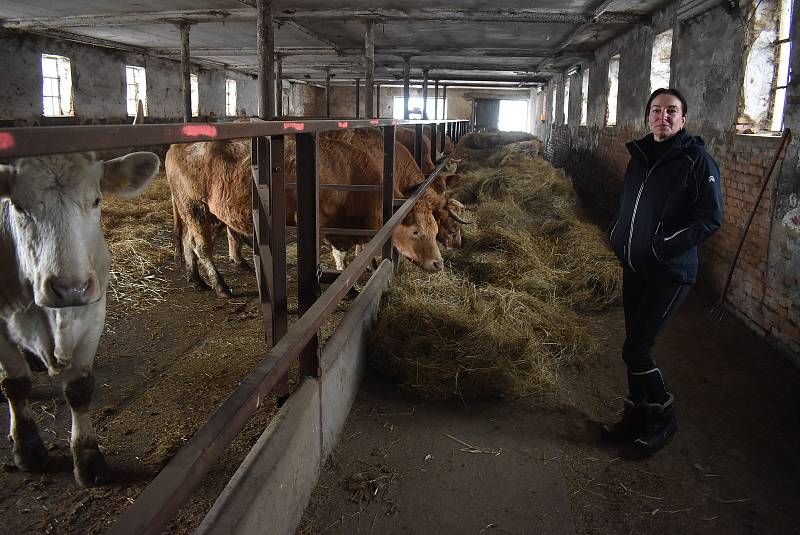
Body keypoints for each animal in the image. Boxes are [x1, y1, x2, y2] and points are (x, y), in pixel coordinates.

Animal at [0, 150, 159, 486]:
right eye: (18, 206)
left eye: (96, 200)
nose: (69, 288)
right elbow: (15, 384)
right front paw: (27, 448)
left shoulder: (94, 312)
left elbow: (80, 388)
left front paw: (88, 458)